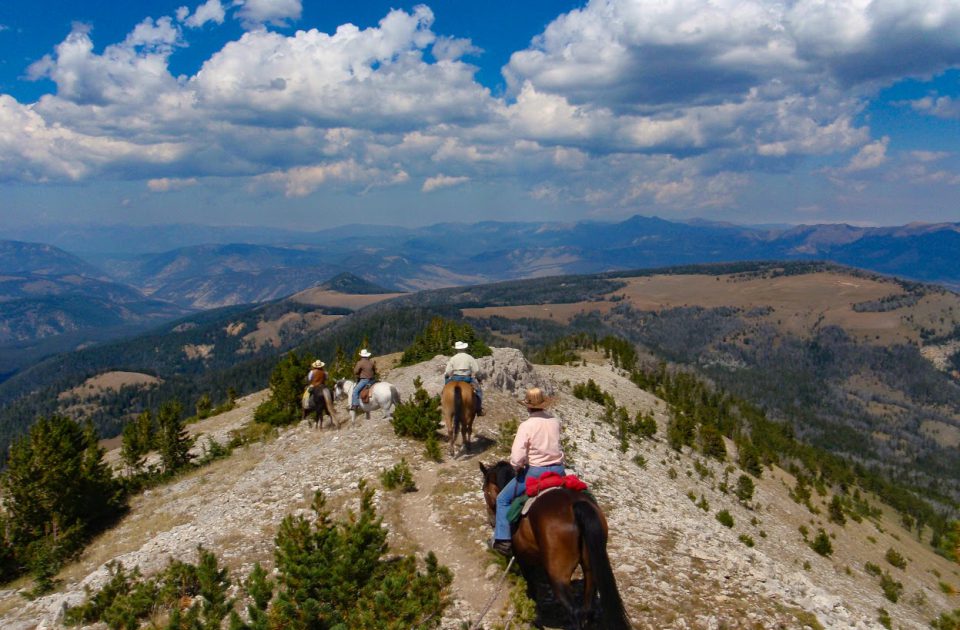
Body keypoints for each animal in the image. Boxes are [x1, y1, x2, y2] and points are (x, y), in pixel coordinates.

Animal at [480, 460, 632, 630]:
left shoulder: (522, 559)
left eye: (484, 491)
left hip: (558, 574)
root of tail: (575, 505)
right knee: (588, 609)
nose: (491, 521)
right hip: (590, 569)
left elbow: (531, 587)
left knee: (574, 611)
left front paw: (535, 618)